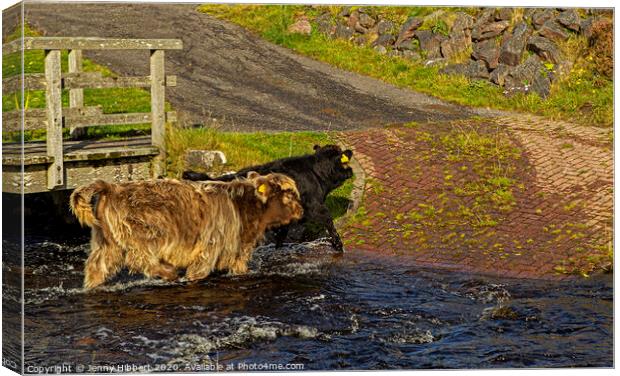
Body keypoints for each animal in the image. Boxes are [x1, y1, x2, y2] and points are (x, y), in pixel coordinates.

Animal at [70, 172, 302, 290]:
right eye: (289, 194)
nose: (301, 210)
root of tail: (111, 187)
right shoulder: (209, 249)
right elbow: (197, 273)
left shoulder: (237, 254)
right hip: (142, 237)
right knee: (140, 260)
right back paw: (169, 273)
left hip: (106, 243)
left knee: (96, 266)